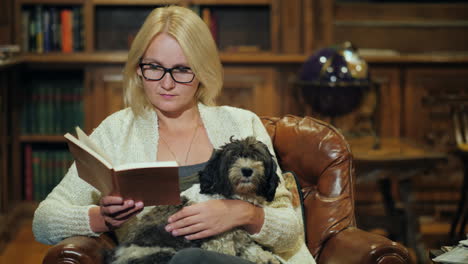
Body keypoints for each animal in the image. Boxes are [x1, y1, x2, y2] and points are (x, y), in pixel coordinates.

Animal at [107, 136, 282, 264]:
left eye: (257, 158)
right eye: (233, 158)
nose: (247, 170)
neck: (237, 196)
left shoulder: (241, 238)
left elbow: (253, 250)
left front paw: (266, 258)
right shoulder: (219, 242)